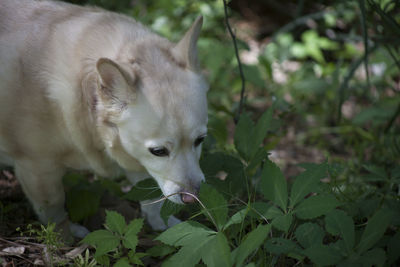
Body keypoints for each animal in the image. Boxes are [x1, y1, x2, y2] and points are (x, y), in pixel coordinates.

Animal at [0, 0, 208, 239]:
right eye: (158, 151)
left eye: (200, 140)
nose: (192, 197)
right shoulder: (37, 168)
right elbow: (54, 208)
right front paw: (63, 238)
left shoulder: (136, 159)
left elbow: (151, 198)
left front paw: (163, 225)